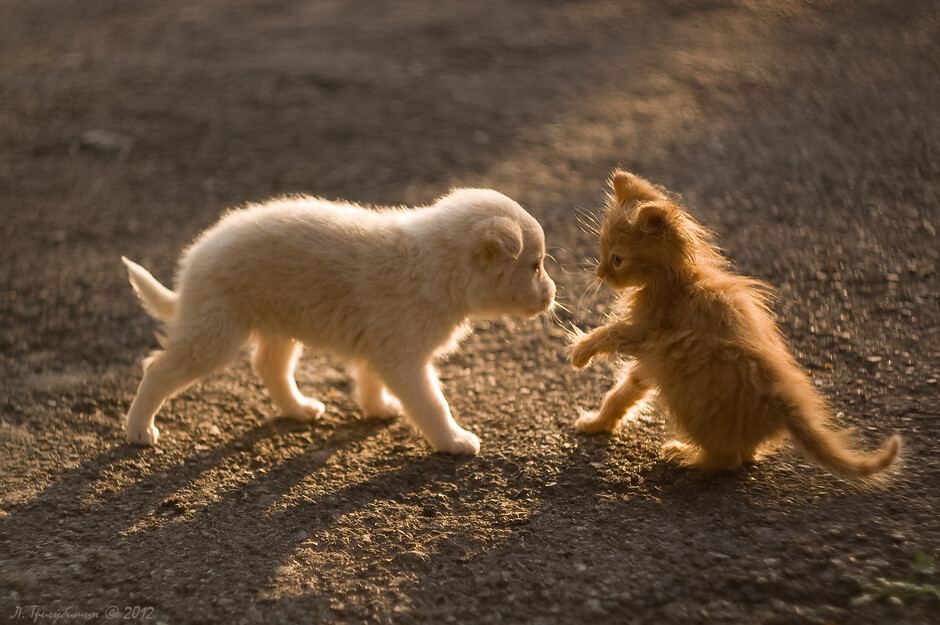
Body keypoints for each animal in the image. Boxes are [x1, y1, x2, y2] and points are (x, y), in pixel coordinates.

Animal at [121, 189, 556, 454]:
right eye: (534, 266)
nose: (552, 293)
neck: (435, 266)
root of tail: (192, 263)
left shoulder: (382, 348)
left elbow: (370, 378)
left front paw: (378, 408)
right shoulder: (405, 358)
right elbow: (433, 404)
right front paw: (455, 440)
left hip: (278, 323)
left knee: (269, 366)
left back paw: (299, 409)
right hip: (216, 332)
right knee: (157, 368)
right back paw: (139, 430)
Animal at [568, 171, 900, 478]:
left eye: (617, 259)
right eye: (601, 251)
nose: (599, 273)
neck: (678, 283)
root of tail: (782, 403)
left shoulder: (648, 330)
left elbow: (610, 334)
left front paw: (581, 353)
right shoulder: (655, 358)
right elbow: (623, 392)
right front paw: (599, 422)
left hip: (692, 403)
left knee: (725, 460)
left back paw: (685, 456)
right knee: (744, 454)